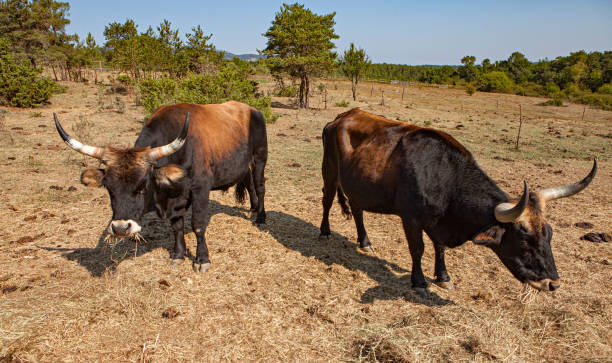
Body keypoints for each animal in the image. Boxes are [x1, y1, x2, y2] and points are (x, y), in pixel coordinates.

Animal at [55, 101, 268, 272]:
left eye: (143, 184)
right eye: (108, 187)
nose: (121, 228)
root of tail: (251, 109)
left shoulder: (200, 190)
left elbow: (198, 225)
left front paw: (202, 259)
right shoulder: (176, 200)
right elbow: (177, 226)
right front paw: (178, 255)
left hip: (259, 158)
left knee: (259, 186)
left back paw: (260, 217)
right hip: (243, 165)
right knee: (249, 183)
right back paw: (253, 208)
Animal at [320, 108, 596, 296]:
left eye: (549, 235)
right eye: (524, 239)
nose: (553, 283)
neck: (445, 177)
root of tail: (342, 116)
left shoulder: (438, 222)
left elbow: (439, 247)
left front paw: (443, 276)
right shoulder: (411, 218)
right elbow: (417, 248)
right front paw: (419, 281)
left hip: (357, 184)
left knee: (357, 210)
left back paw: (365, 242)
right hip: (330, 171)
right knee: (327, 200)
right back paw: (324, 231)